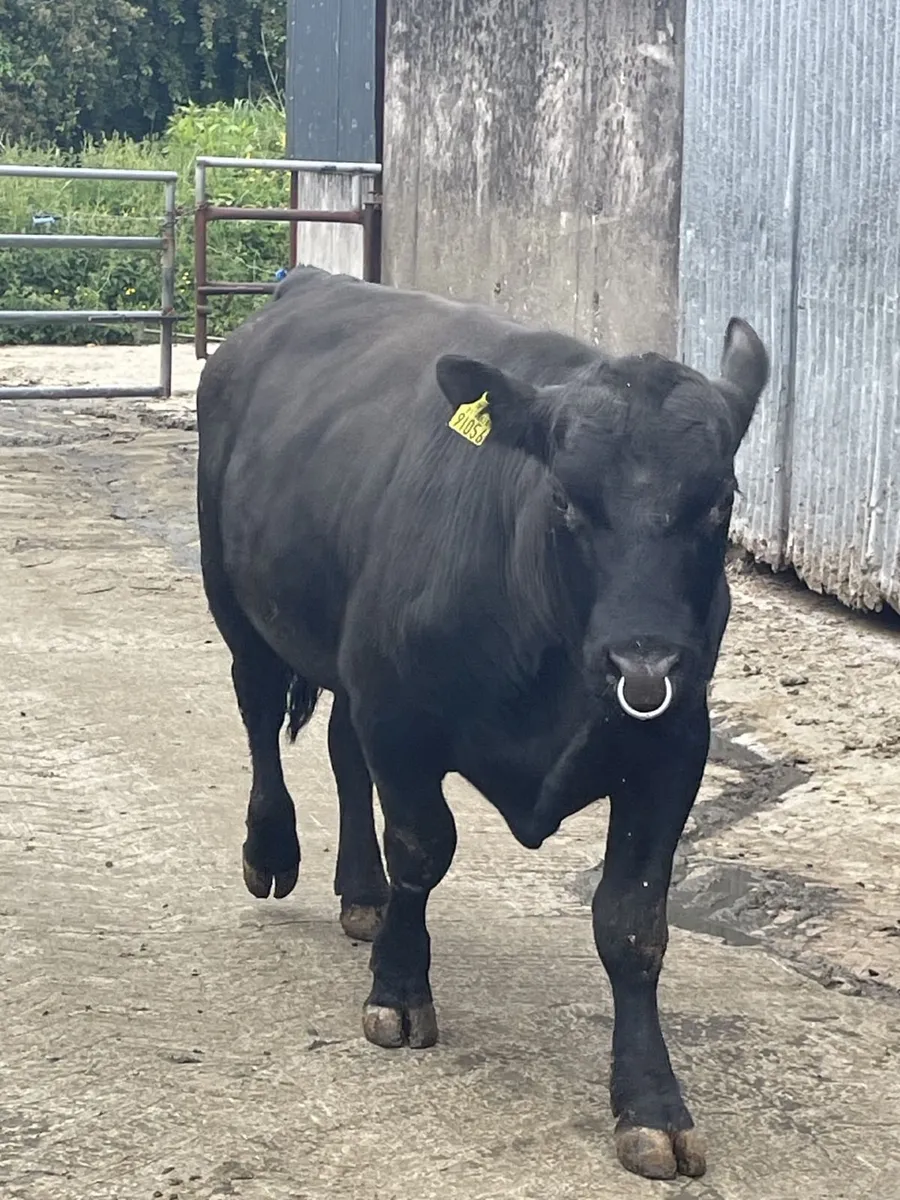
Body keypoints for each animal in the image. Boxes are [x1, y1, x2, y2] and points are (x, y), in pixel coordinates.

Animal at [195, 265, 769, 1181]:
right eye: (565, 498)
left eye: (721, 501)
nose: (643, 662)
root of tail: (308, 283)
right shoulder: (402, 716)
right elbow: (423, 848)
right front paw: (398, 992)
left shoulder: (674, 746)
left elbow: (633, 924)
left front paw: (652, 1104)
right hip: (234, 594)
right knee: (257, 712)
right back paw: (274, 851)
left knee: (342, 754)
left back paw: (361, 894)